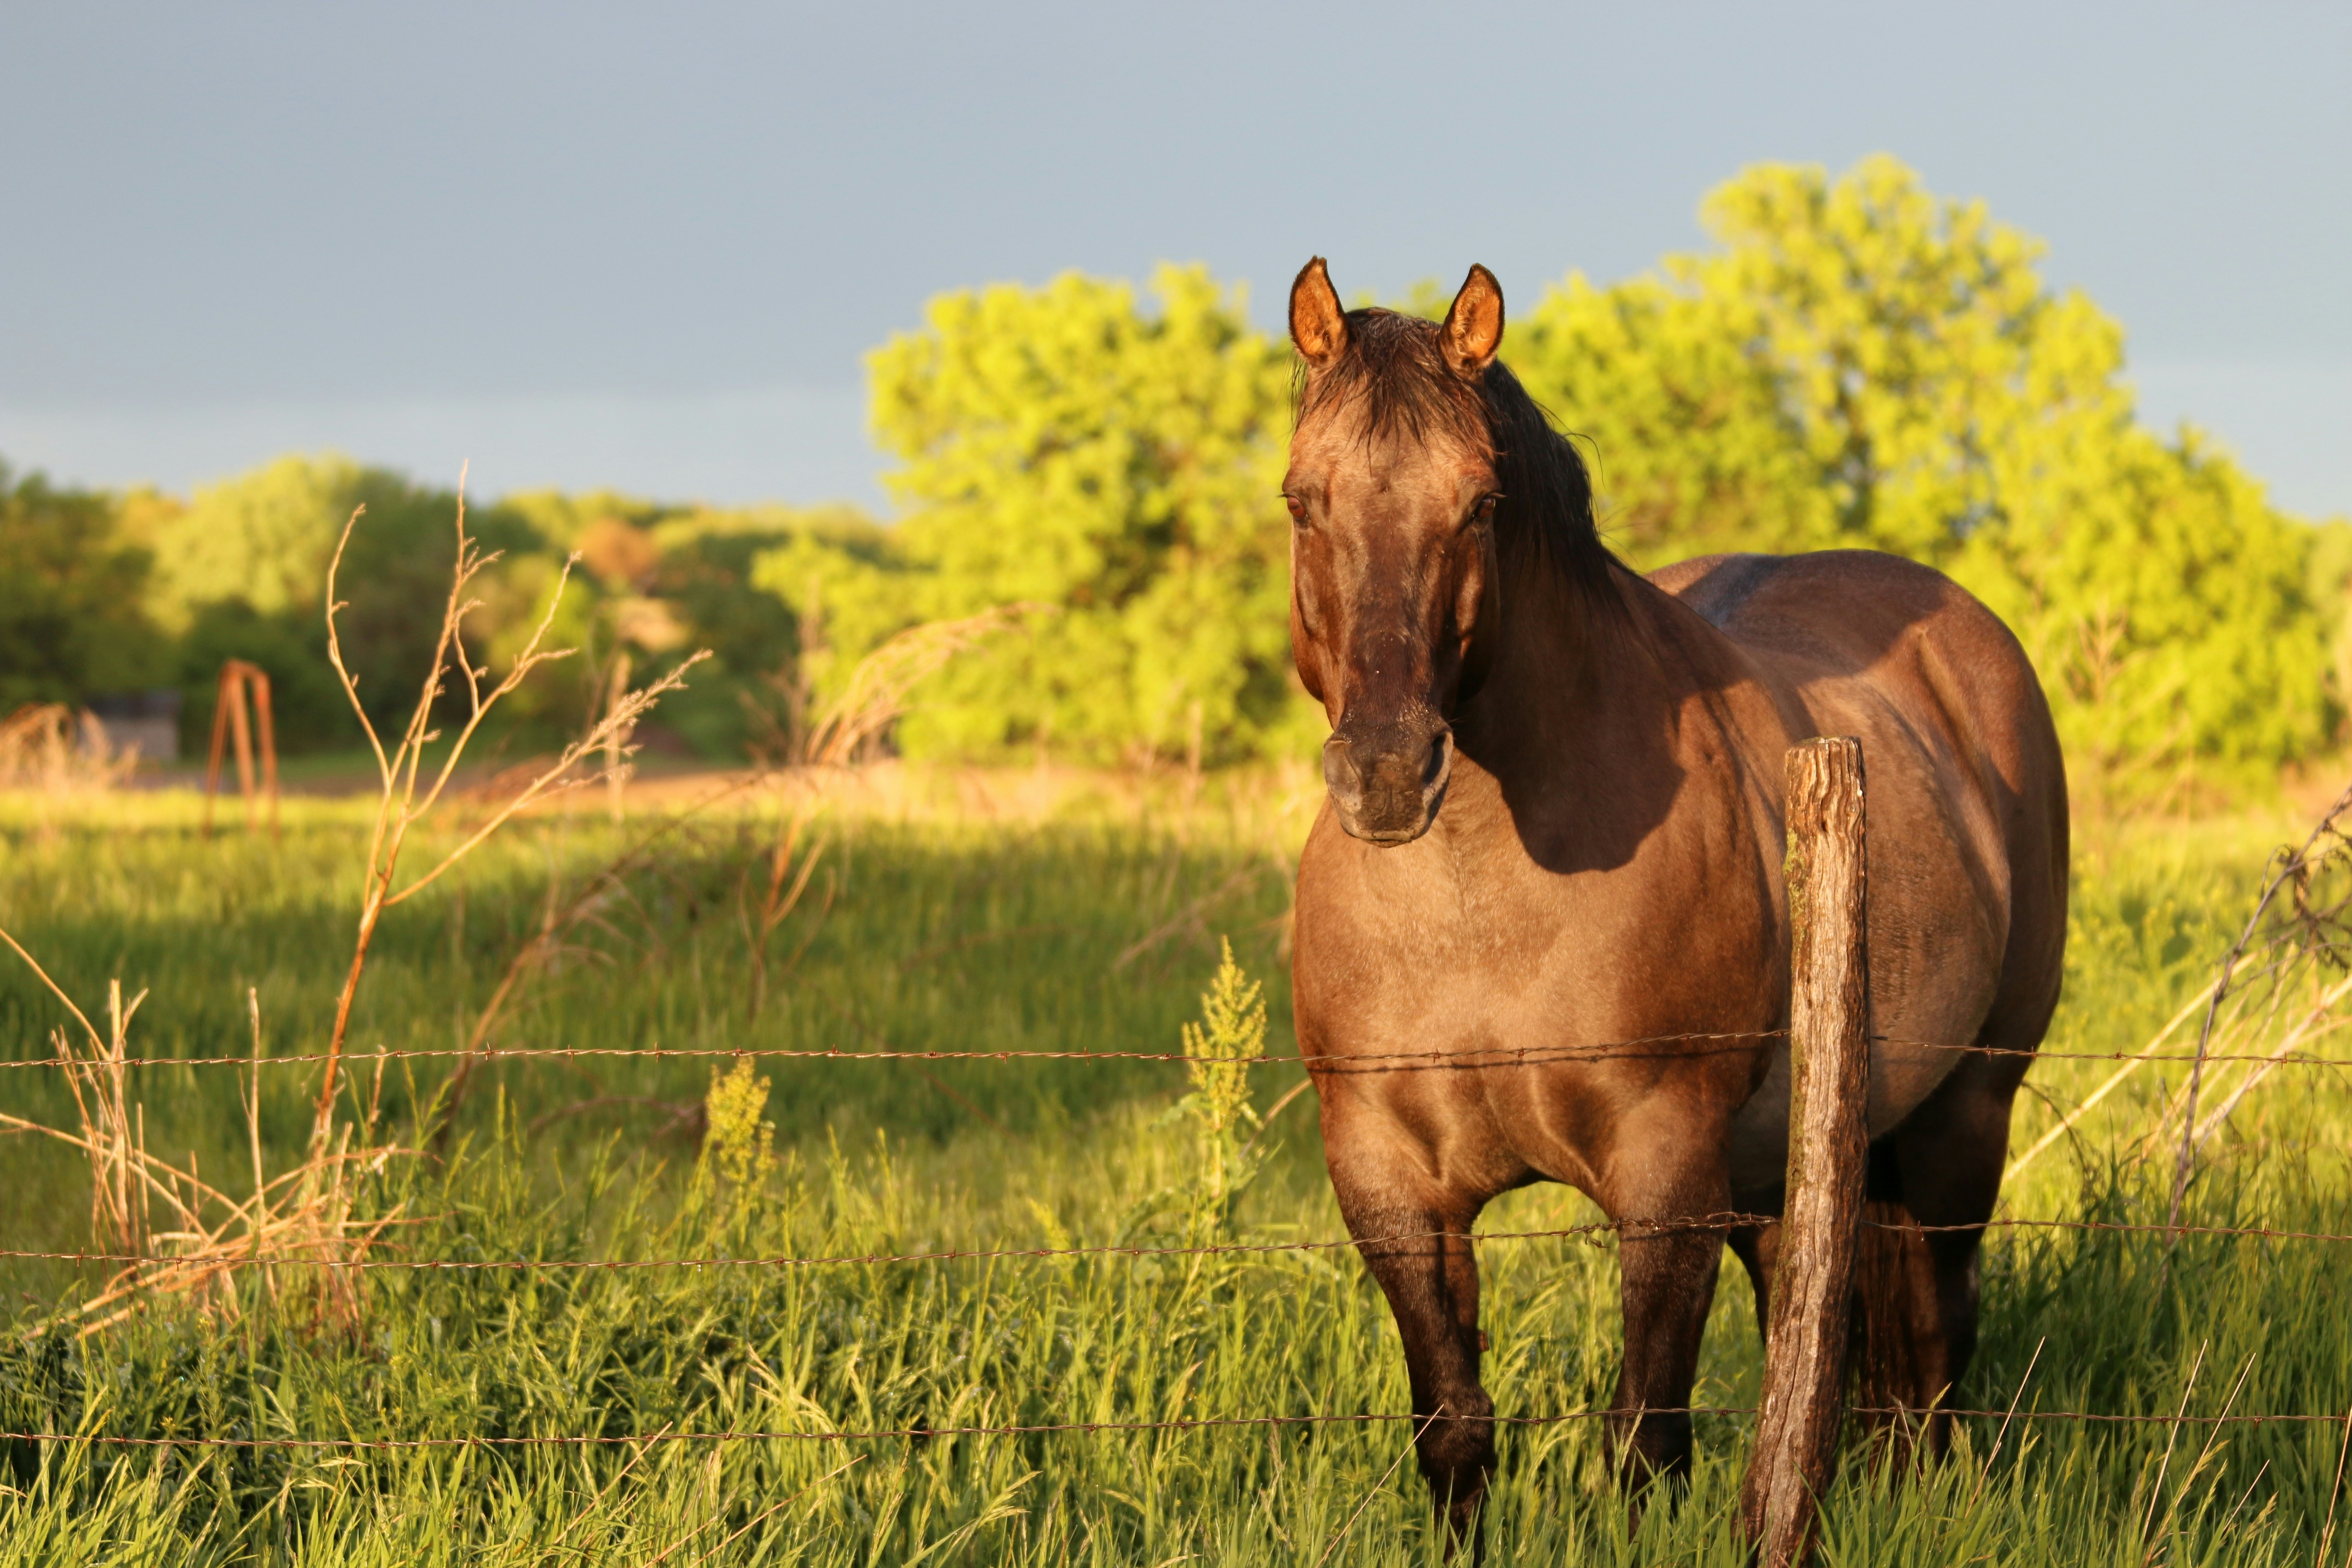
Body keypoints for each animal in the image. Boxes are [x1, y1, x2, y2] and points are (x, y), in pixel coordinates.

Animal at [1284, 257, 2069, 1538]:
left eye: (1480, 504)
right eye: (1304, 500)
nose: (1387, 773)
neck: (1481, 912)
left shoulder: (1665, 1176)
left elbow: (1642, 1443)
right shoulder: (1391, 1185)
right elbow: (1455, 1434)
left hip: (1966, 1109)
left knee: (1934, 1334)